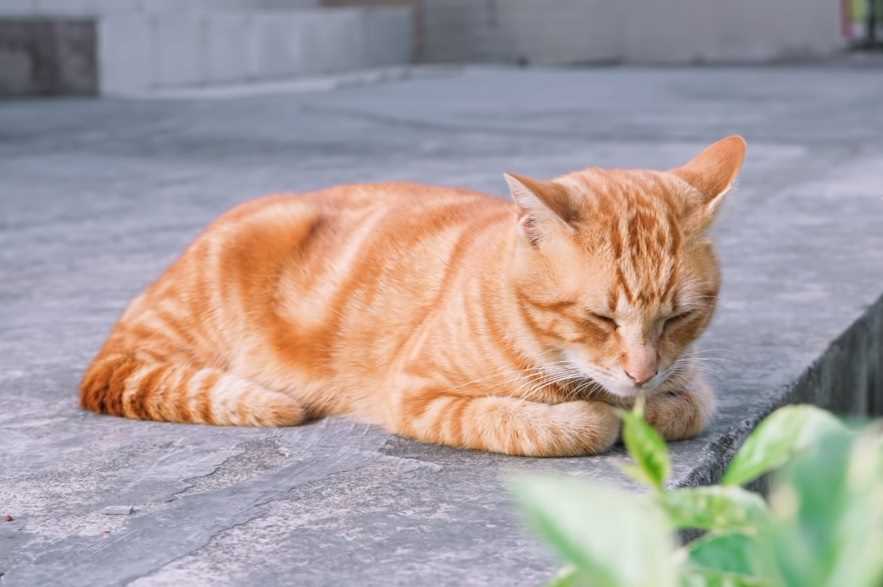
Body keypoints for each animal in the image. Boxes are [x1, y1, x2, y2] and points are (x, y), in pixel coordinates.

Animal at [81, 136, 744, 458]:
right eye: (600, 317)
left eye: (680, 317)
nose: (640, 371)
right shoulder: (418, 393)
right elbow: (546, 422)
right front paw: (600, 417)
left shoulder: (692, 381)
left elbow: (686, 406)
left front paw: (640, 407)